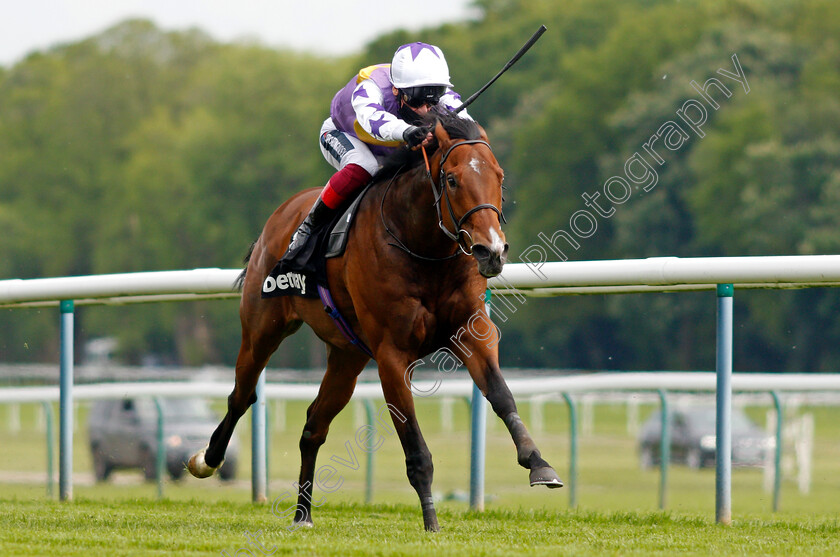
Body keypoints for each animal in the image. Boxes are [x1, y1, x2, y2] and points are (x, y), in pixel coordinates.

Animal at [187, 108, 560, 528]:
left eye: (499, 177)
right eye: (452, 179)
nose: (491, 251)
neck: (422, 247)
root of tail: (279, 217)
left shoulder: (472, 333)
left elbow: (500, 395)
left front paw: (538, 463)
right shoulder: (391, 354)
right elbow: (415, 447)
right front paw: (431, 522)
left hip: (347, 356)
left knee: (313, 426)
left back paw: (303, 513)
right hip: (262, 328)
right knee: (241, 395)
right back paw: (207, 459)